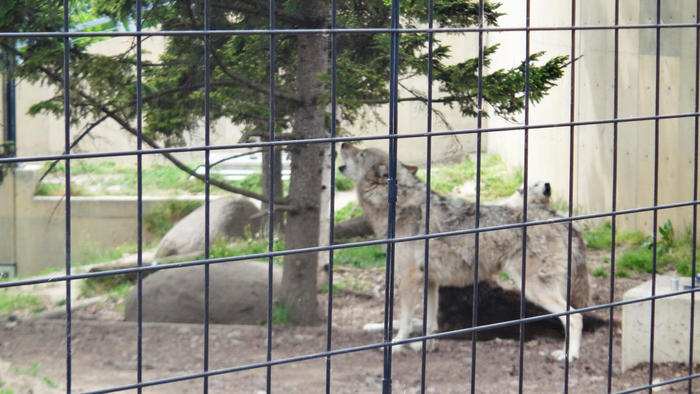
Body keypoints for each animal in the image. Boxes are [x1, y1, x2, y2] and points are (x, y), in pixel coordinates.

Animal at [340, 143, 592, 362]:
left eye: (361, 154)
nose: (343, 143)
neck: (396, 207)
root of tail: (558, 218)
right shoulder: (431, 282)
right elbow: (429, 324)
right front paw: (425, 347)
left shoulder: (410, 278)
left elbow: (405, 321)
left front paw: (396, 346)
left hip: (532, 288)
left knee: (576, 317)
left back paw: (569, 356)